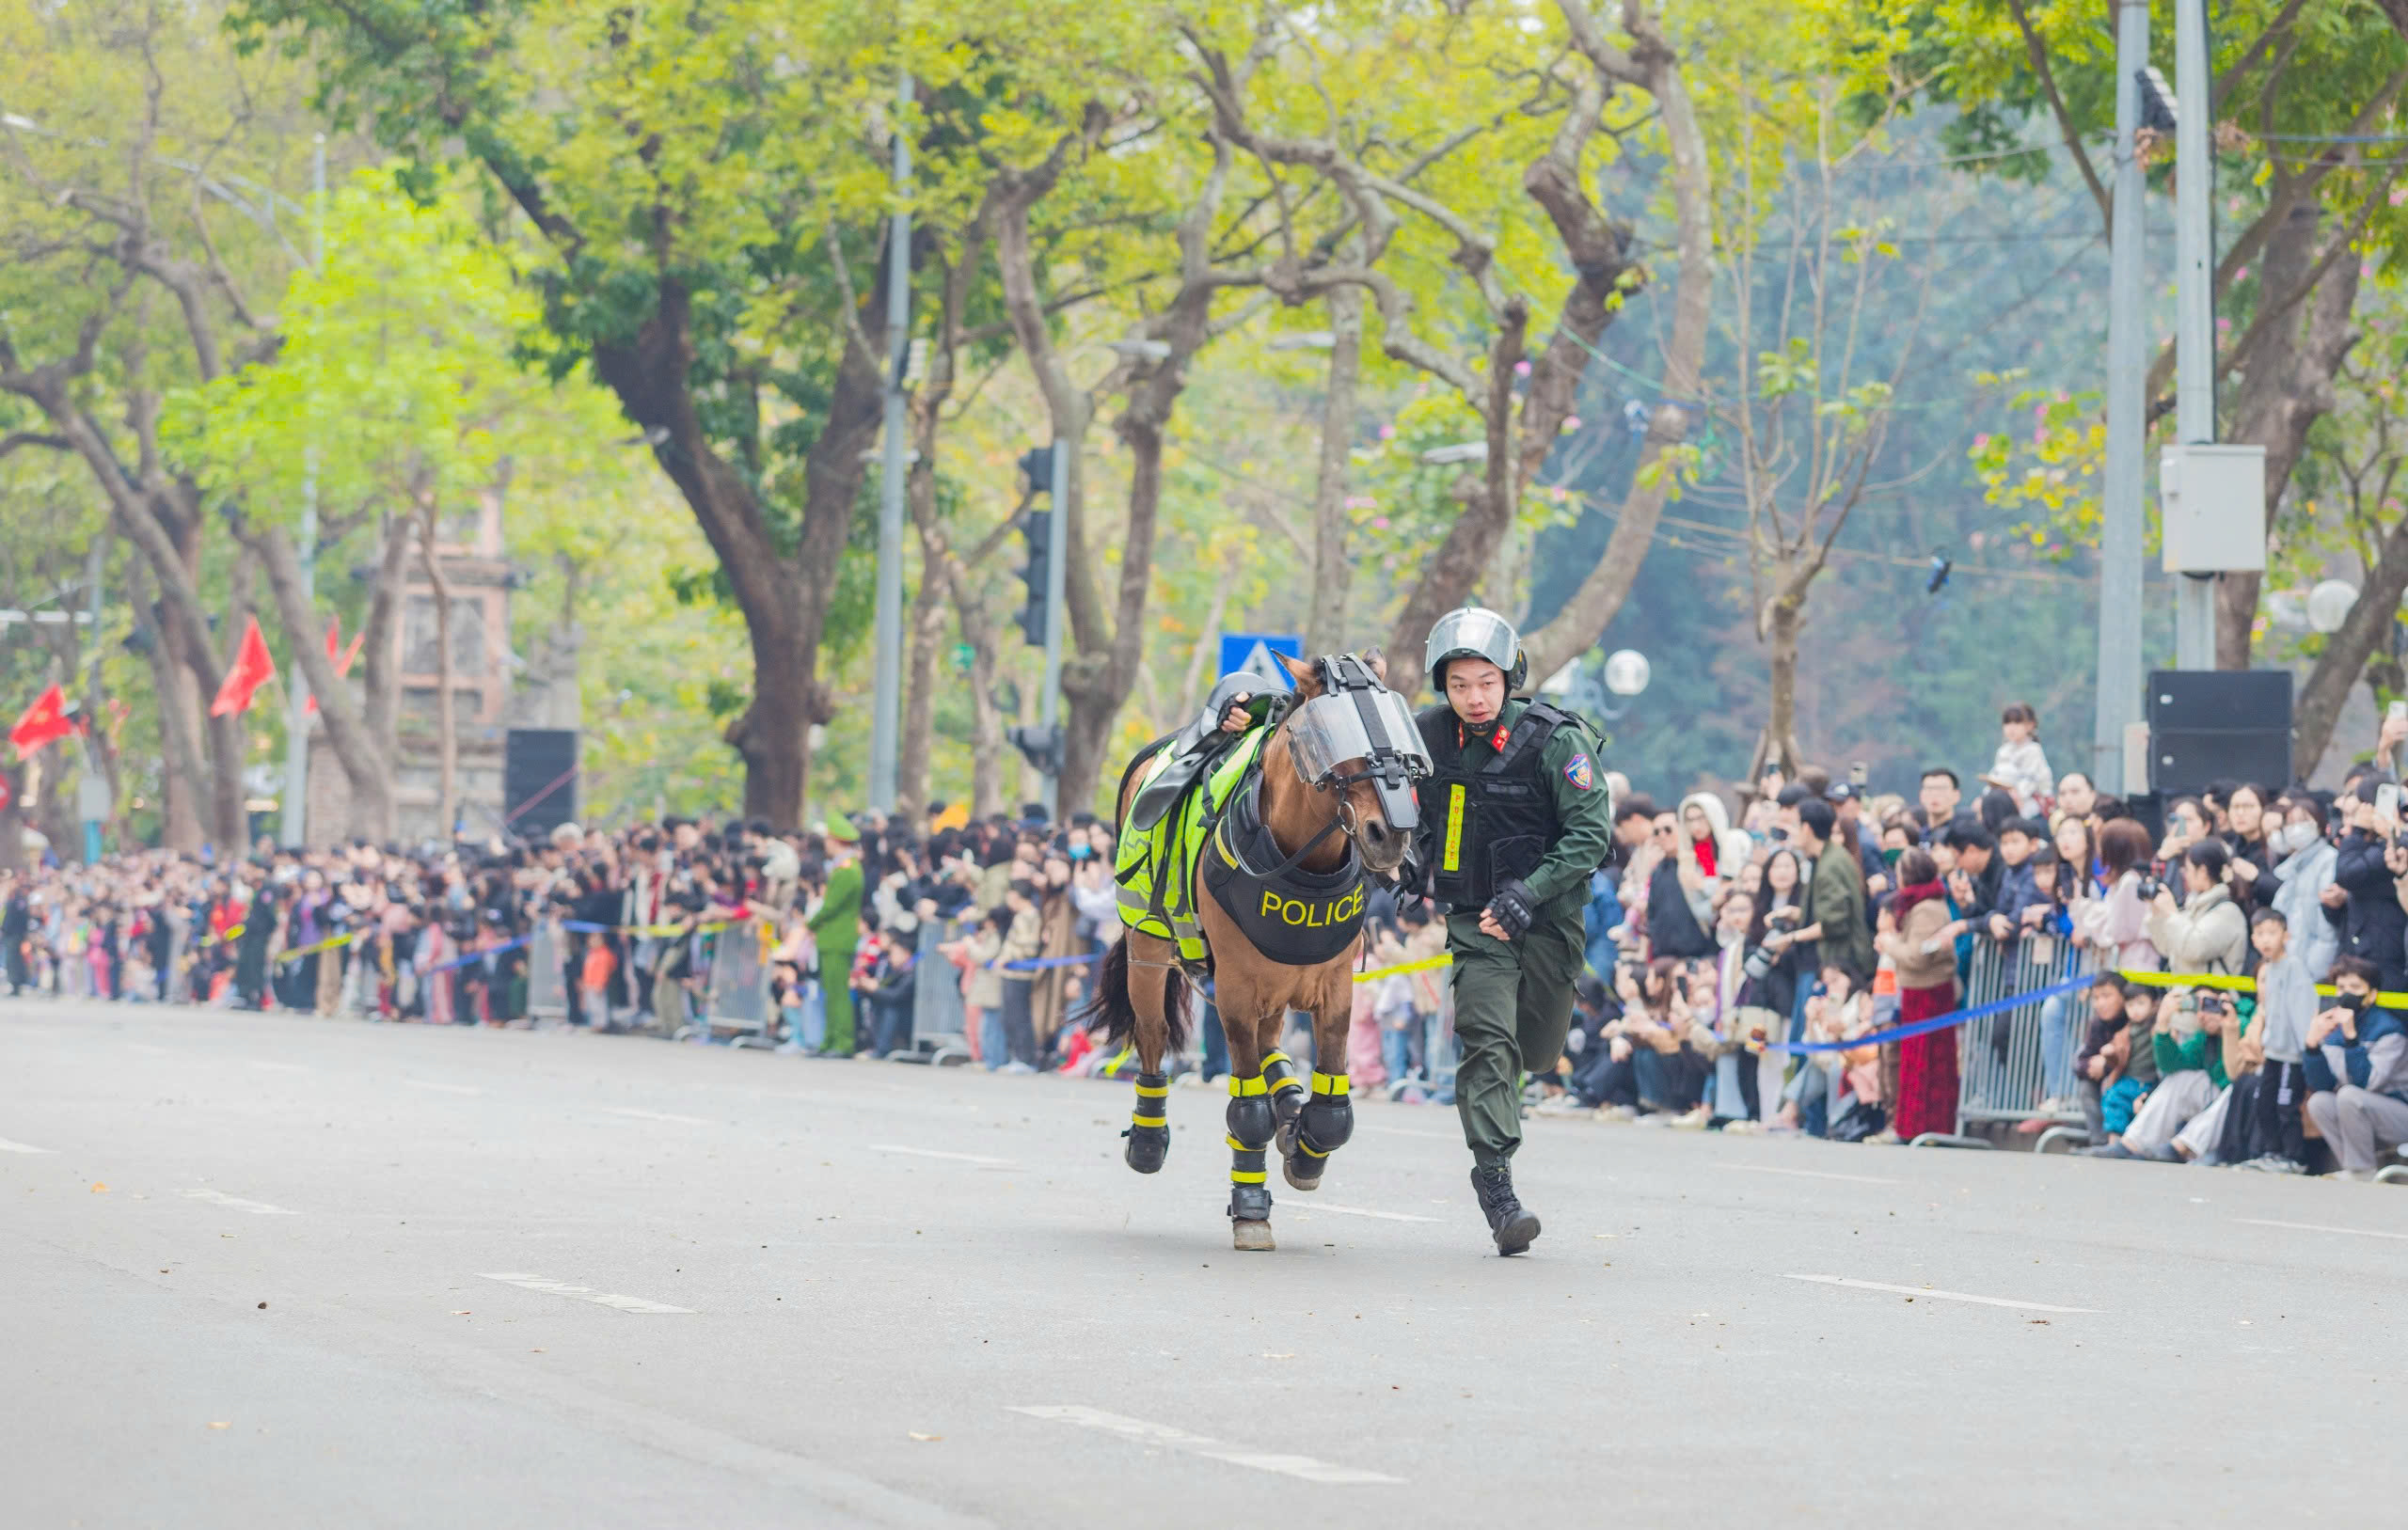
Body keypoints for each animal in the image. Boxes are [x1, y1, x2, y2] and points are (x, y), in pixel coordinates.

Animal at [1093, 649, 1406, 1251]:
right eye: (1332, 737)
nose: (1390, 834)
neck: (1298, 863)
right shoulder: (1236, 990)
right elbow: (1248, 1111)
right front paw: (1251, 1207)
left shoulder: (1333, 987)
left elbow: (1333, 1108)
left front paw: (1306, 1147)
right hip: (1150, 945)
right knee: (1153, 1035)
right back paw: (1148, 1137)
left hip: (1279, 985)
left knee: (1270, 1047)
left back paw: (1290, 1104)